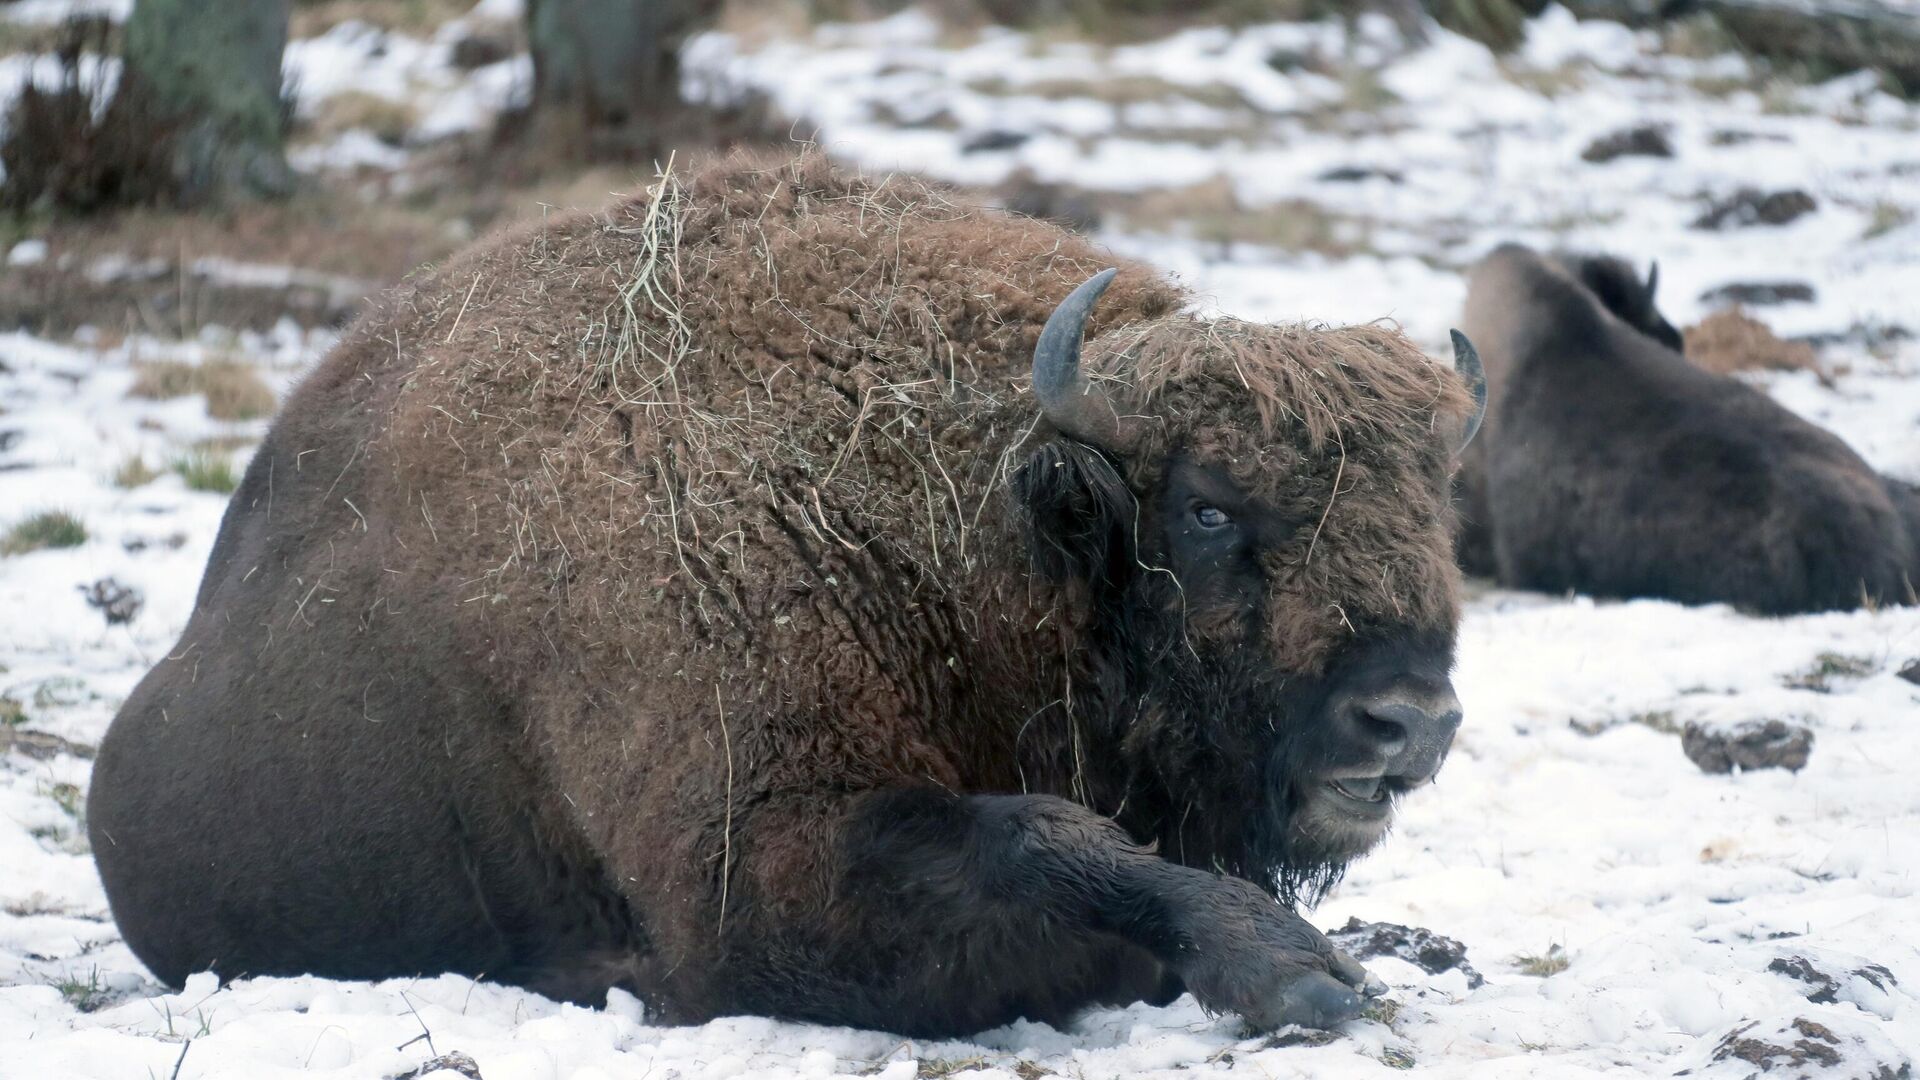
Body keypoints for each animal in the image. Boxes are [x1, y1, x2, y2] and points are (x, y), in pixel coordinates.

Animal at [86, 153, 1482, 1037]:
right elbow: (1045, 841)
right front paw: (1299, 976)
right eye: (1205, 508)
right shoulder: (753, 876)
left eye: (1438, 508)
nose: (1408, 720)